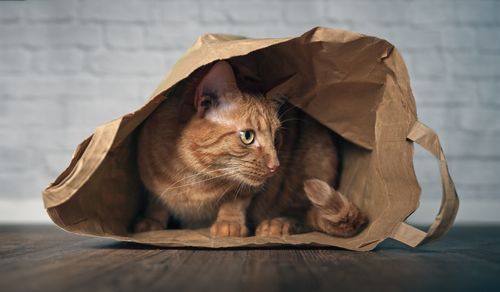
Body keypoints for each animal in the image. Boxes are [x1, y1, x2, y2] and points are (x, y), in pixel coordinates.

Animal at [133, 61, 368, 237]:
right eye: (248, 136)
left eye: (277, 138)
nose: (275, 166)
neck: (197, 177)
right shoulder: (149, 179)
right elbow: (156, 202)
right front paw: (150, 220)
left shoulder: (249, 189)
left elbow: (236, 199)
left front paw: (229, 223)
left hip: (316, 160)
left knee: (303, 215)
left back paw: (278, 223)